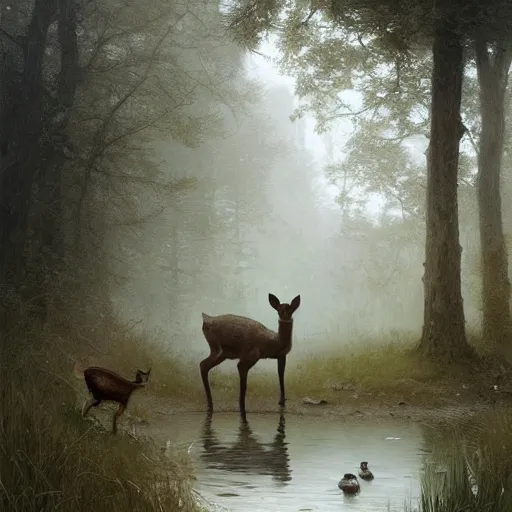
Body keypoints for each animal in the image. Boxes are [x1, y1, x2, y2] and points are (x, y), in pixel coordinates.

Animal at [197, 292, 300, 420]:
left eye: (291, 309)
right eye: (279, 310)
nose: (285, 316)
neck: (275, 342)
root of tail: (206, 319)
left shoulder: (281, 356)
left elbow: (281, 375)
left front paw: (282, 402)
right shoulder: (250, 356)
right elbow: (244, 384)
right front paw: (242, 409)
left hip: (222, 353)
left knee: (203, 365)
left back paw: (210, 404)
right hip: (217, 348)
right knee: (203, 364)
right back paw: (210, 405)